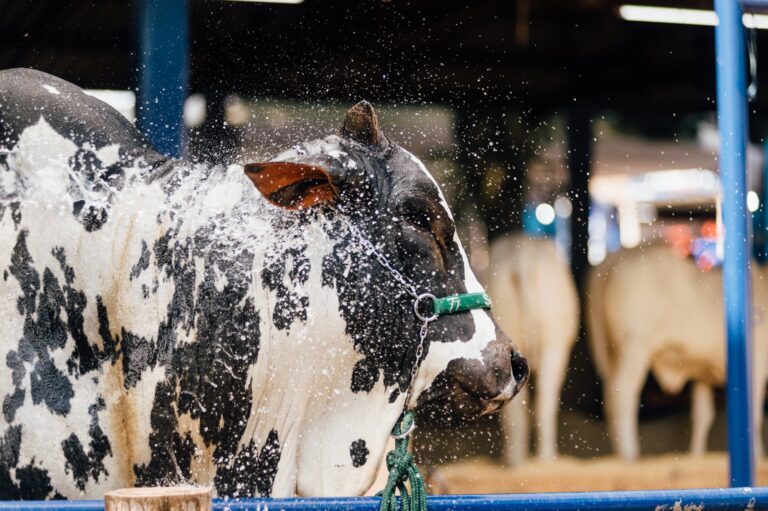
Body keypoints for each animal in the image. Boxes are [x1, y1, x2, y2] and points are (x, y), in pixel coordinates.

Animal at [592, 246, 764, 462]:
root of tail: (615, 258)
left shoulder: (702, 374)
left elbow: (703, 415)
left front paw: (697, 456)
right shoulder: (757, 365)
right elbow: (754, 414)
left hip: (614, 354)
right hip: (634, 348)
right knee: (621, 394)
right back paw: (630, 456)